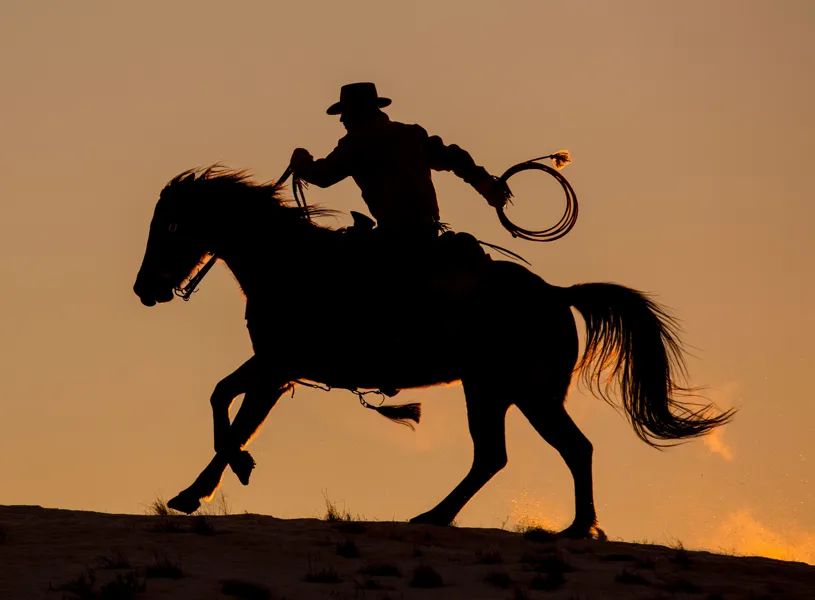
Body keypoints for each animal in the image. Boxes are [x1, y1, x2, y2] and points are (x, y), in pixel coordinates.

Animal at [132, 166, 734, 538]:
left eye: (172, 224)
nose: (145, 289)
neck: (291, 263)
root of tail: (556, 294)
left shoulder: (277, 366)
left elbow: (231, 415)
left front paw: (222, 475)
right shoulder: (276, 368)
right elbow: (222, 399)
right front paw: (207, 484)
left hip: (524, 393)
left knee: (566, 449)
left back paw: (569, 526)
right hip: (494, 392)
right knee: (501, 455)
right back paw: (444, 516)